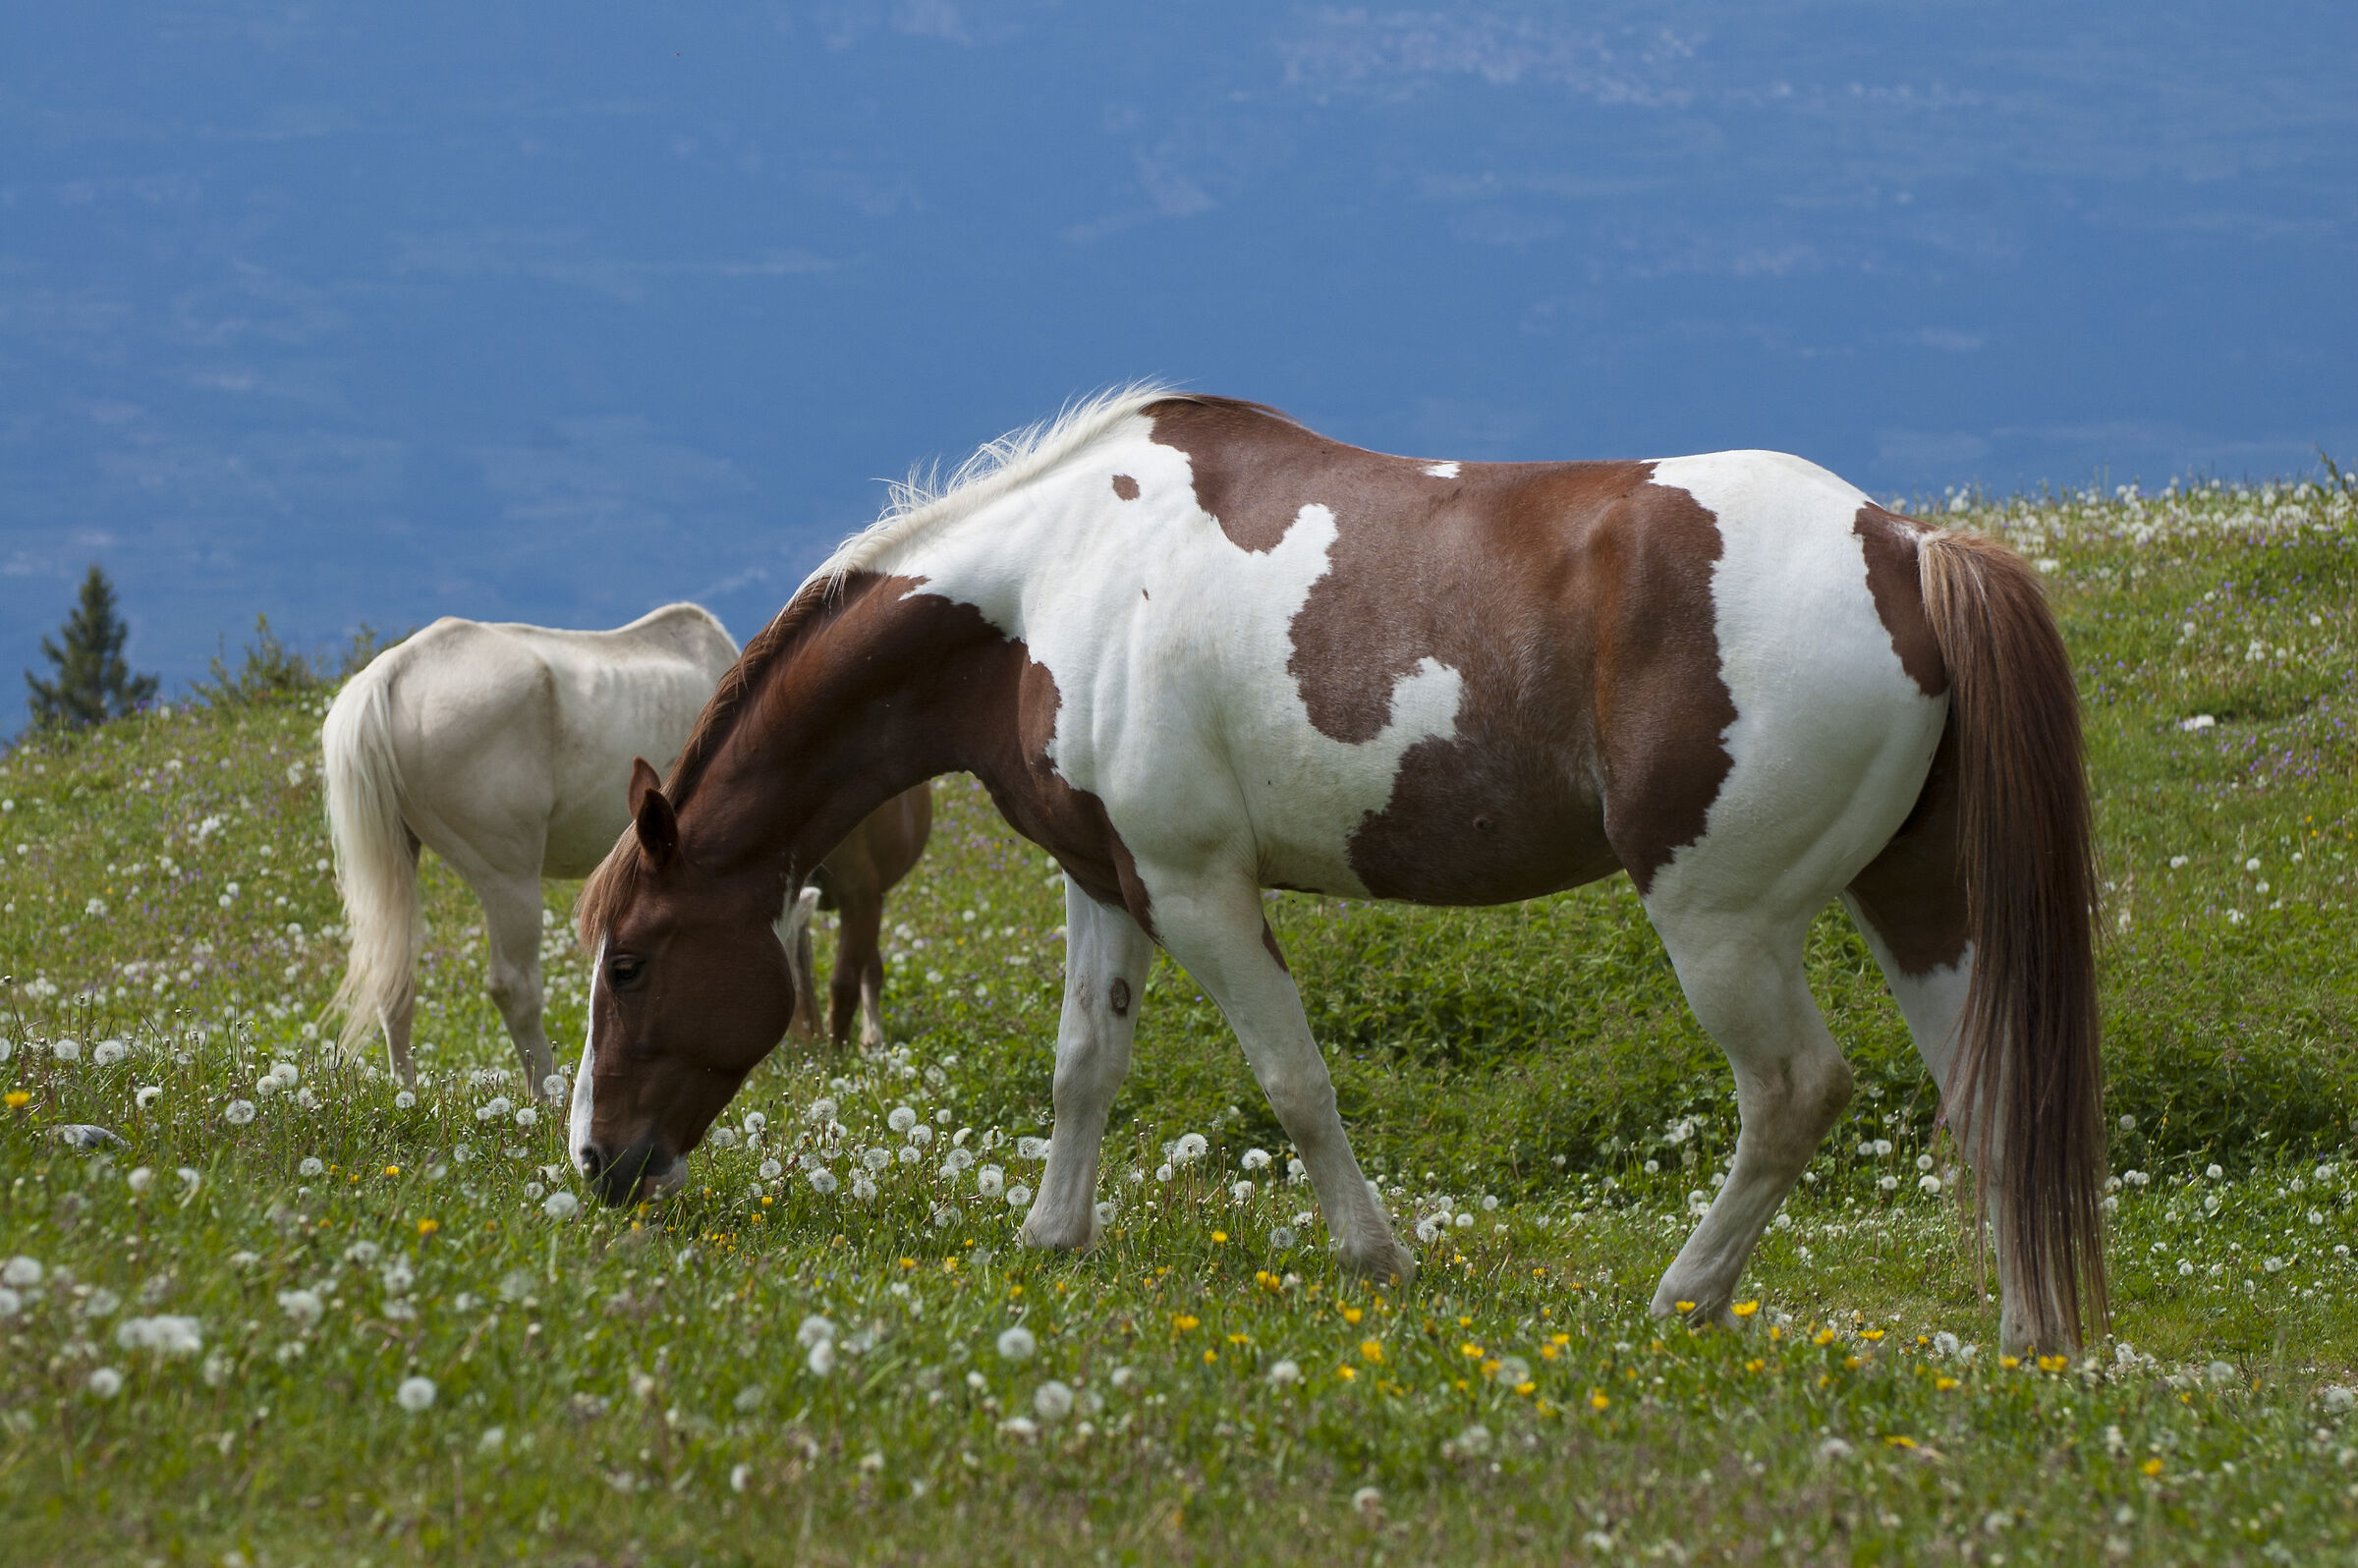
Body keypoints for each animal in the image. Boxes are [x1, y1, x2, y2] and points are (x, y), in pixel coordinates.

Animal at [322, 606, 930, 1098]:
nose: (805, 1042)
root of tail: (393, 673)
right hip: (506, 876)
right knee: (513, 986)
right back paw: (548, 1096)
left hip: (401, 861)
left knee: (395, 980)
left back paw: (408, 1094)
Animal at [570, 387, 2107, 1355]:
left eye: (632, 960)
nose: (594, 1163)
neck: (1055, 580)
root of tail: (1905, 548)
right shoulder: (1108, 884)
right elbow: (1084, 1067)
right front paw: (1054, 1237)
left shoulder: (1197, 888)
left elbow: (1294, 1081)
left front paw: (1376, 1258)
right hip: (1917, 906)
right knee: (1985, 1091)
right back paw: (2029, 1333)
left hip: (1720, 921)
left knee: (1794, 1092)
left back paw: (1682, 1300)